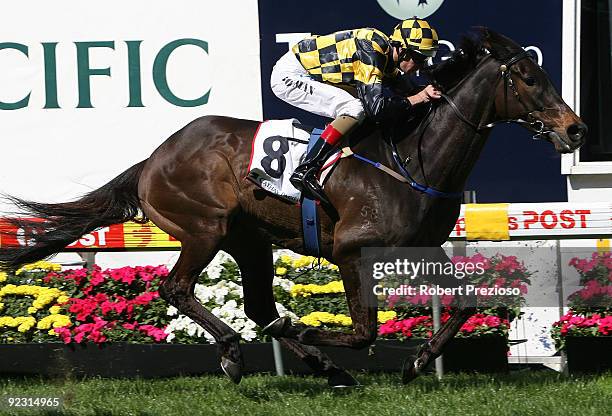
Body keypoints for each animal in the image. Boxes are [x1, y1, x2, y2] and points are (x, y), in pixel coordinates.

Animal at [0, 29, 584, 386]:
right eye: (530, 79)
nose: (574, 128)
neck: (413, 162)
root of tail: (153, 158)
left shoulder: (421, 246)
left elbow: (465, 302)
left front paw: (418, 361)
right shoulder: (352, 250)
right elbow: (365, 330)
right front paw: (314, 334)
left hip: (249, 240)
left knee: (260, 307)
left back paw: (324, 367)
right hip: (205, 228)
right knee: (177, 289)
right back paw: (236, 352)